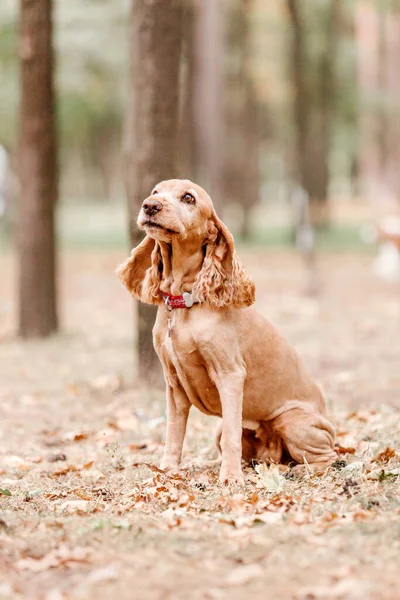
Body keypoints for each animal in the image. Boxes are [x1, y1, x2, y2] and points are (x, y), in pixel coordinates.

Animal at [117, 178, 336, 482]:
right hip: (224, 431)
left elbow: (232, 436)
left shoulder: (230, 374)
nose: (149, 206)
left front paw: (231, 478)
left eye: (188, 198)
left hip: (292, 421)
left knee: (327, 458)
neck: (183, 303)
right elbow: (173, 435)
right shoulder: (173, 384)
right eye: (155, 192)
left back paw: (294, 470)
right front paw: (167, 471)